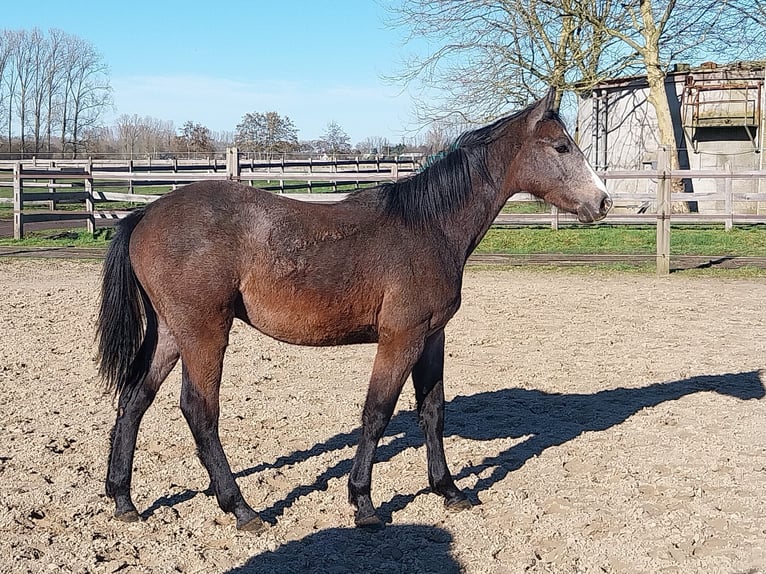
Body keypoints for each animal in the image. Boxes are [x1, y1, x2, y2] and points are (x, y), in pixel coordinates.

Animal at [96, 89, 611, 532]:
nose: (602, 201)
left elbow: (433, 412)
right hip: (205, 333)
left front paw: (448, 490)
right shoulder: (401, 337)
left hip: (171, 333)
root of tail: (144, 213)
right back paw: (242, 508)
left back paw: (123, 500)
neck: (429, 227)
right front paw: (363, 502)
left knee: (134, 400)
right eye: (562, 146)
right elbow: (377, 412)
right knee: (199, 411)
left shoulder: (432, 336)